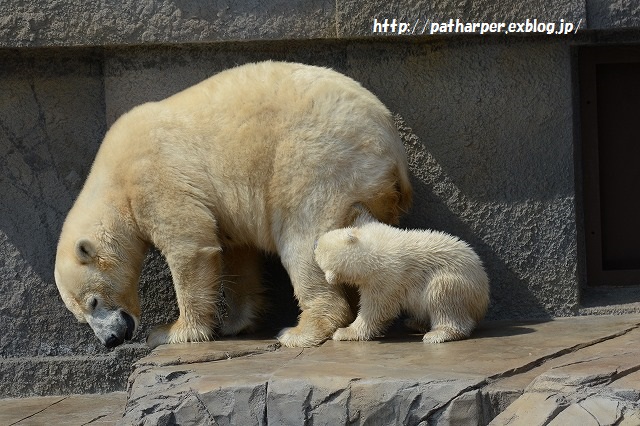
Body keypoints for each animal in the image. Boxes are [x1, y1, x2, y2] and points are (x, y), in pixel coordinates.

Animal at [56, 61, 416, 348]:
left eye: (93, 301)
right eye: (80, 315)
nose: (110, 340)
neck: (111, 179)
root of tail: (390, 141)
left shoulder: (154, 177)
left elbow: (191, 247)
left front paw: (170, 331)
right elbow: (237, 254)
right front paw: (236, 323)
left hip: (315, 161)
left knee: (302, 240)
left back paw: (301, 331)